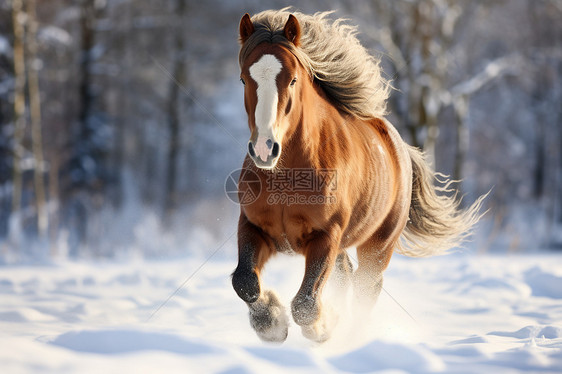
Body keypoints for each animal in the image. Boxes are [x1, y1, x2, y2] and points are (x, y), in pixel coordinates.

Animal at [230, 8, 484, 344]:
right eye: (244, 78)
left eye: (293, 79)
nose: (264, 149)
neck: (288, 174)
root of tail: (399, 146)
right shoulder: (253, 226)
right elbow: (244, 281)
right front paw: (271, 323)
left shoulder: (326, 236)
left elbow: (306, 303)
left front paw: (323, 326)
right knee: (346, 276)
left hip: (378, 247)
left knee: (366, 288)